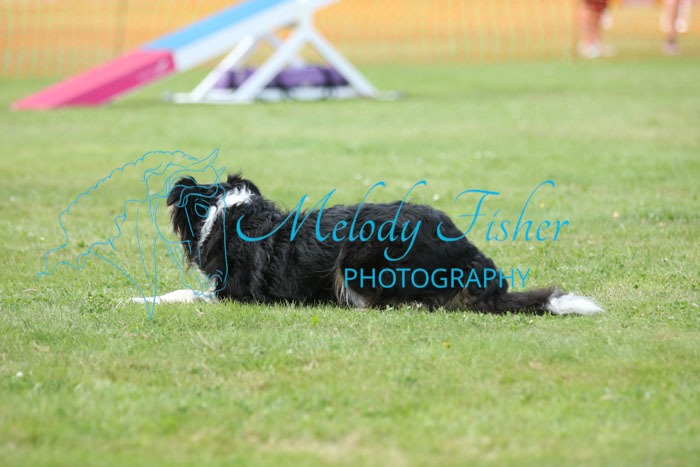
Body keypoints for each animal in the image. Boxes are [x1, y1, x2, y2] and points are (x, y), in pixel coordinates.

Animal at [133, 173, 601, 315]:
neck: (229, 214)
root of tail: (471, 256)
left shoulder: (235, 294)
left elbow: (182, 292)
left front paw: (137, 298)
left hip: (359, 257)